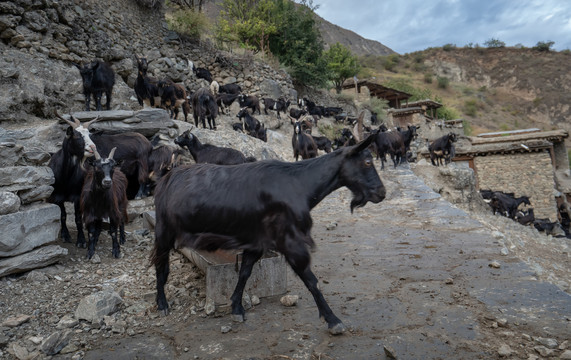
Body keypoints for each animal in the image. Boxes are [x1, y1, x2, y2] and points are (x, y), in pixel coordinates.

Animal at [152, 135, 386, 334]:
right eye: (367, 162)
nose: (381, 193)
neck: (299, 184)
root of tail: (166, 178)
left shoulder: (256, 242)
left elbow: (245, 272)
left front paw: (236, 308)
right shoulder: (290, 241)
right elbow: (311, 279)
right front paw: (333, 320)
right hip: (163, 230)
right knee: (160, 266)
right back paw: (162, 304)